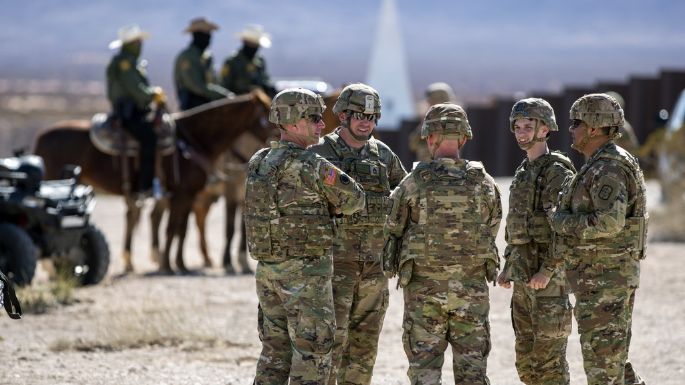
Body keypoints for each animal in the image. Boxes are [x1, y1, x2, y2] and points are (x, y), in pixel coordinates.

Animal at [32, 89, 272, 272]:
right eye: (266, 115)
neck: (192, 140)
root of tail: (41, 136)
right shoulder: (184, 194)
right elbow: (174, 228)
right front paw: (169, 266)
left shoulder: (187, 195)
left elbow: (180, 228)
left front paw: (180, 264)